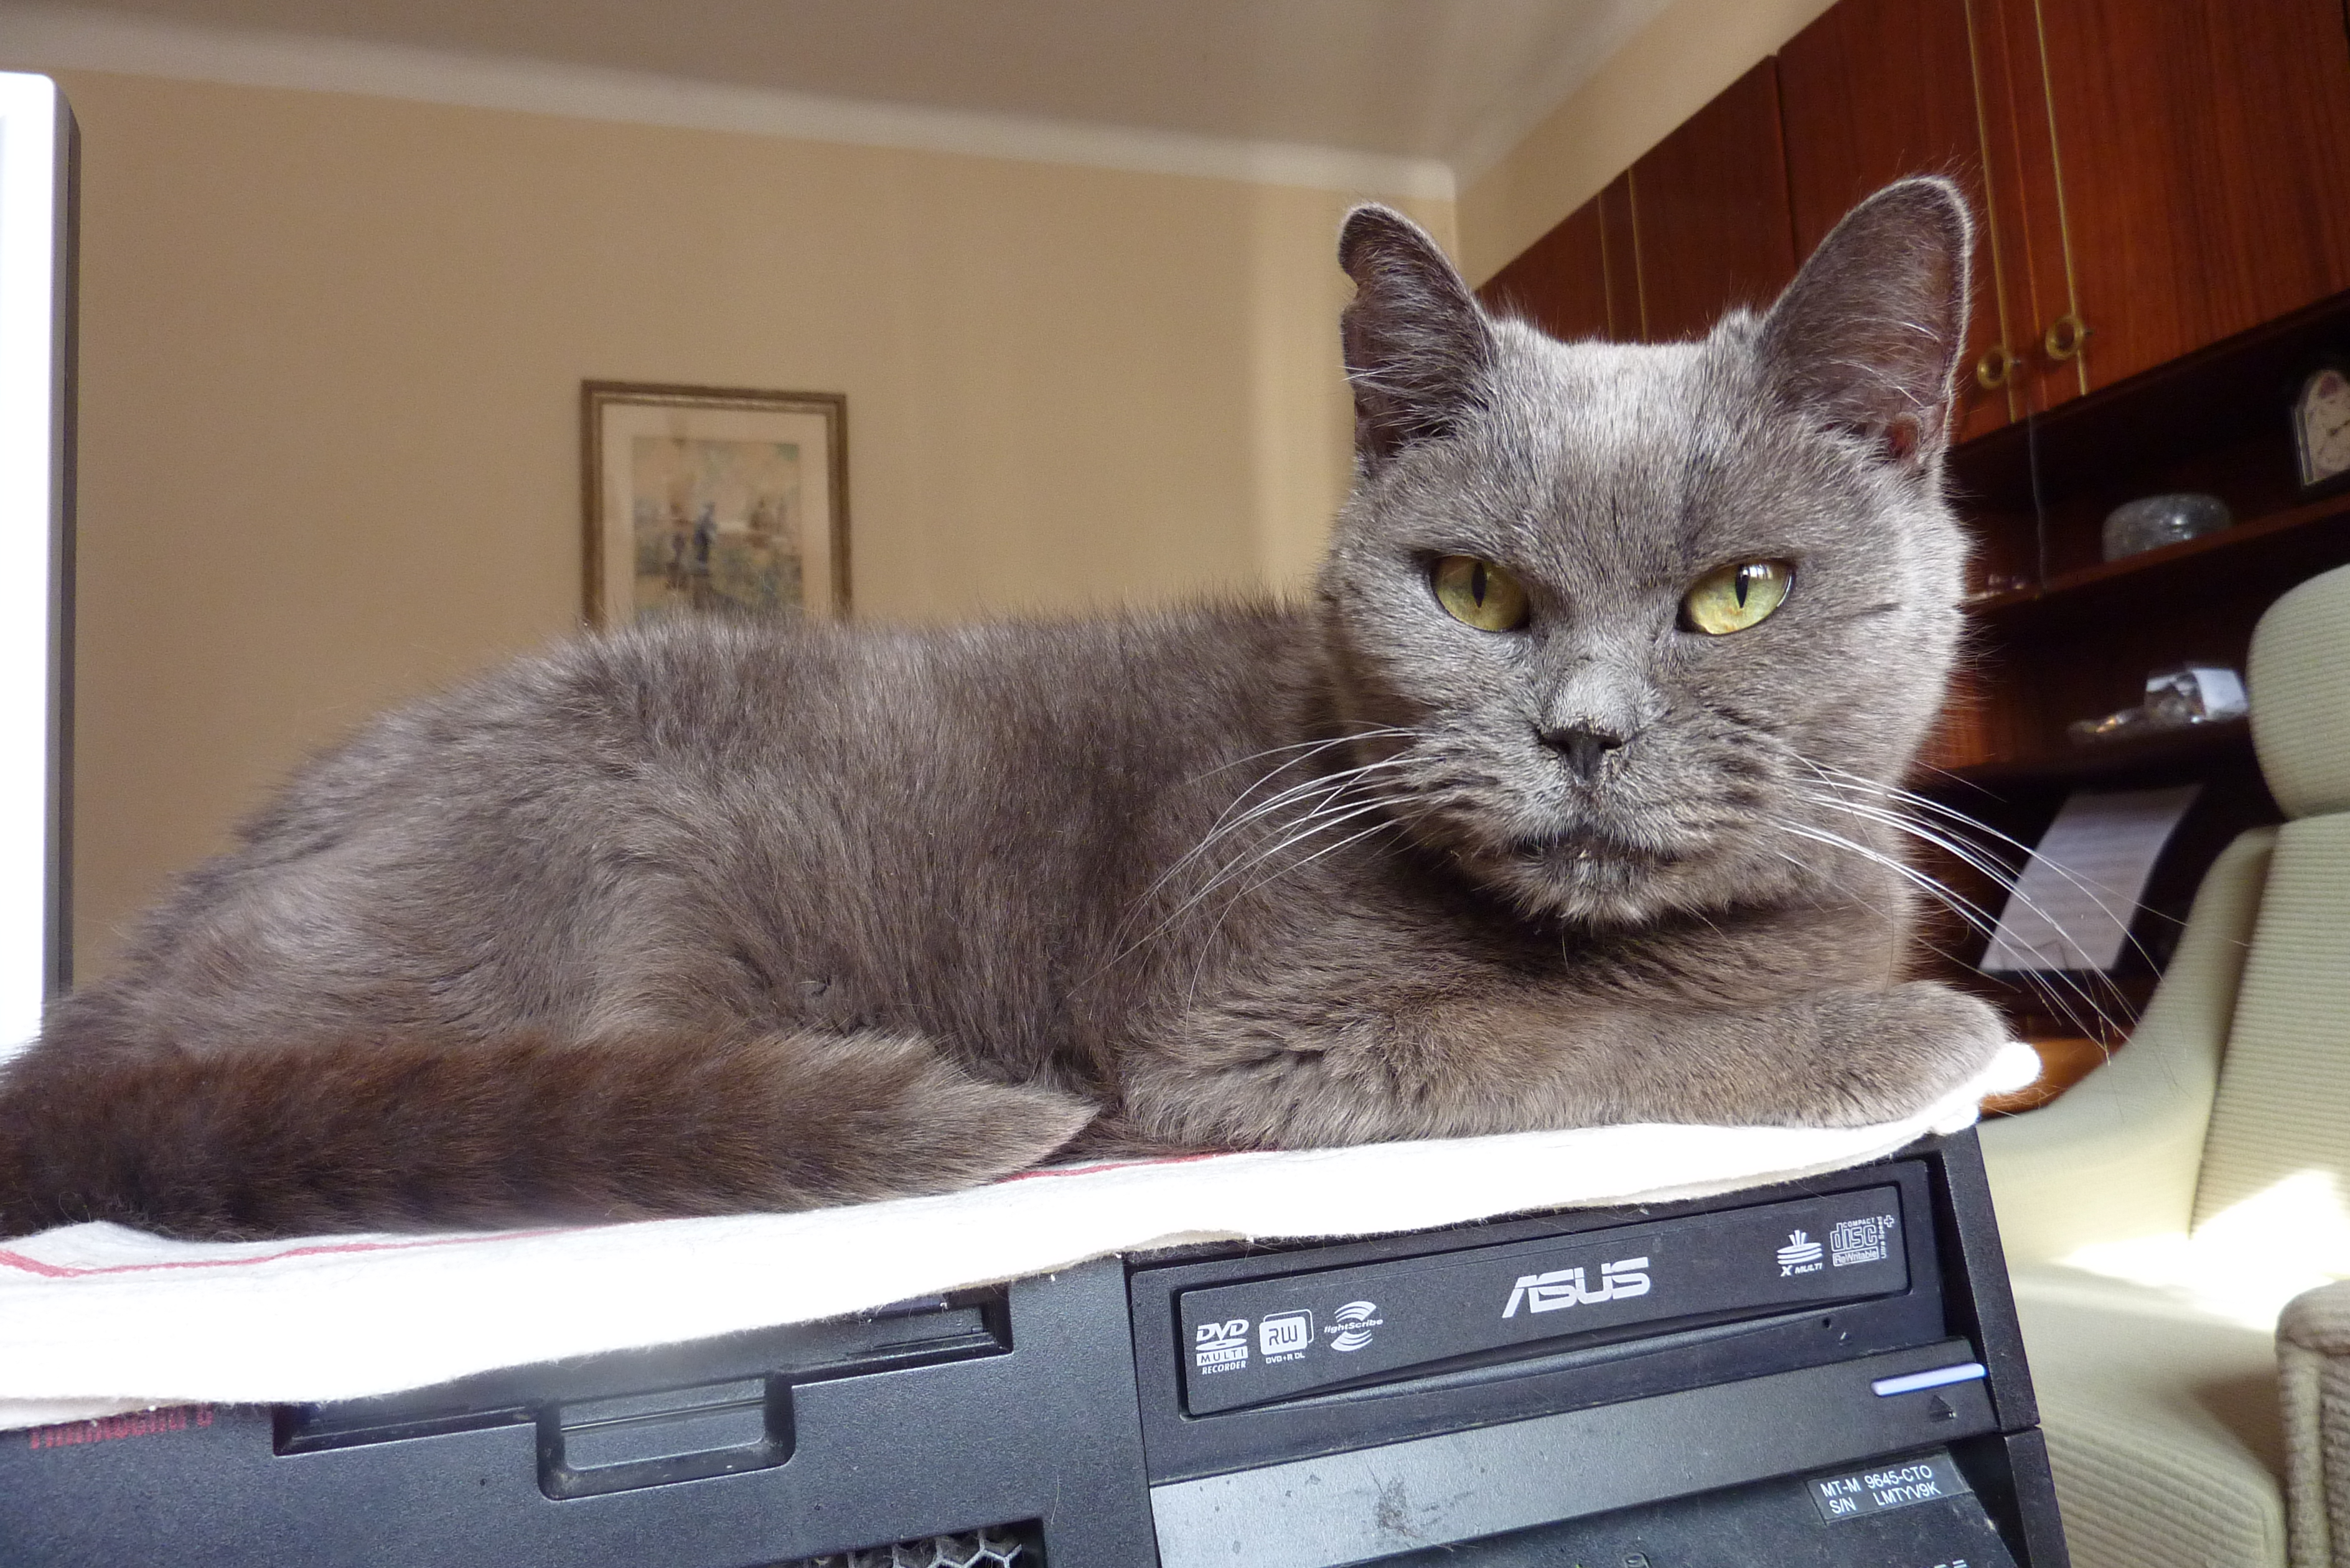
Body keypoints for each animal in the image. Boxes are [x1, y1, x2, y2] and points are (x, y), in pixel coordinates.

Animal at [0, 178, 2003, 1242]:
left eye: (1736, 593)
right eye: (1478, 594)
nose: (1580, 731)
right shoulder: (1244, 1024)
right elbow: (1575, 1039)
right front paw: (1920, 1029)